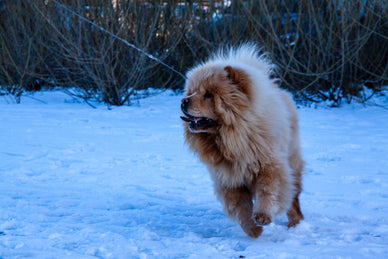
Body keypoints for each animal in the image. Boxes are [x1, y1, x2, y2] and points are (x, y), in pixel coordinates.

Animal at [180, 43, 304, 239]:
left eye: (208, 95)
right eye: (192, 92)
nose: (184, 100)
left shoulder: (269, 165)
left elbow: (267, 191)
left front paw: (262, 217)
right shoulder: (229, 179)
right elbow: (241, 208)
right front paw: (254, 230)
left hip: (293, 161)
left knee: (294, 196)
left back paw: (295, 222)